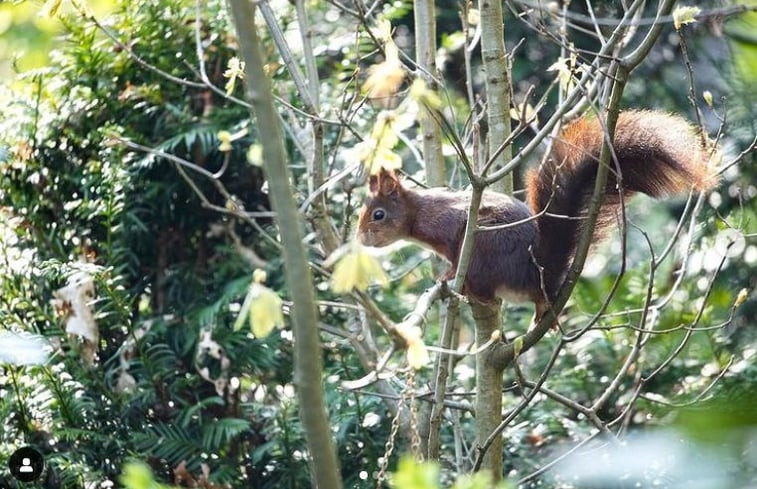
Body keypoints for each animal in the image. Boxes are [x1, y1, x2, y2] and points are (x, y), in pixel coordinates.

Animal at [358, 109, 716, 318]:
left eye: (378, 215)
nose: (360, 238)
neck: (420, 212)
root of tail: (537, 275)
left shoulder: (448, 225)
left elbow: (454, 246)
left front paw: (446, 274)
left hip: (485, 249)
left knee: (483, 284)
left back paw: (469, 288)